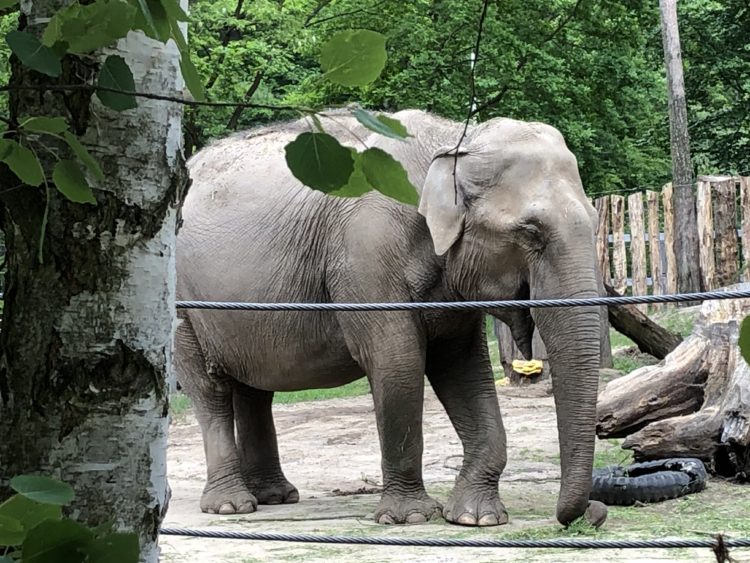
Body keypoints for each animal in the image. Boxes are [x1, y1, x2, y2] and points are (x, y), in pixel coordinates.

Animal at [176, 109, 612, 528]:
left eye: (595, 221)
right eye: (531, 231)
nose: (594, 512)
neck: (455, 139)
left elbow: (463, 367)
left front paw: (476, 517)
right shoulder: (366, 252)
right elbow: (397, 360)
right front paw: (411, 516)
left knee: (254, 388)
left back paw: (276, 496)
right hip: (181, 304)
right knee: (210, 389)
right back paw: (231, 506)